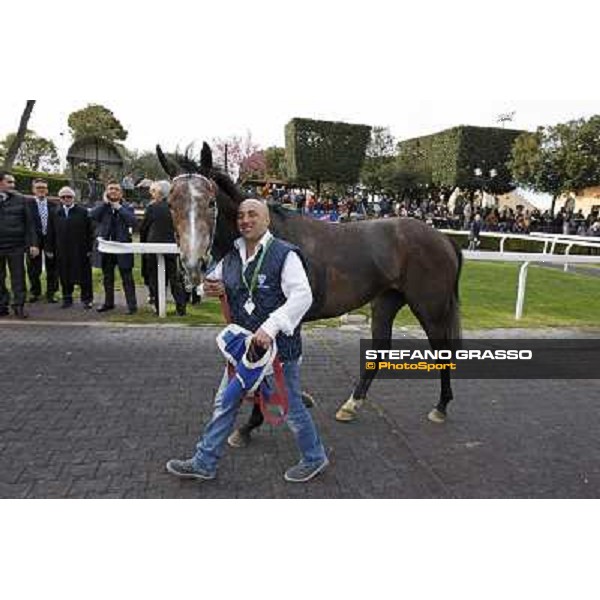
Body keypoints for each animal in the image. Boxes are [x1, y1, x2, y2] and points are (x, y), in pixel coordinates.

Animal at [157, 142, 462, 426]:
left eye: (210, 202)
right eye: (171, 204)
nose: (193, 264)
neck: (266, 235)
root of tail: (443, 238)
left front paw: (253, 422)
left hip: (429, 308)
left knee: (442, 351)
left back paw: (441, 406)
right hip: (386, 300)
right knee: (379, 350)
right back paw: (351, 404)